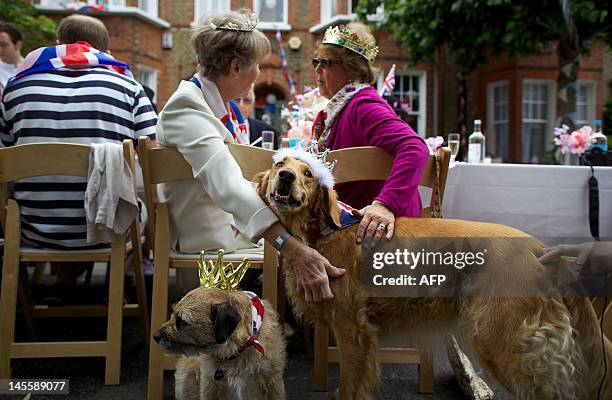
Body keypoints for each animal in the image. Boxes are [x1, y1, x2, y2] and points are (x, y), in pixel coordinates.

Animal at [256, 155, 612, 400]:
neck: (323, 230)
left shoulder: (352, 331)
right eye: (280, 164)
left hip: (506, 343)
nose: (285, 176)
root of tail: (540, 248)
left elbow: (348, 387)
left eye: (308, 174)